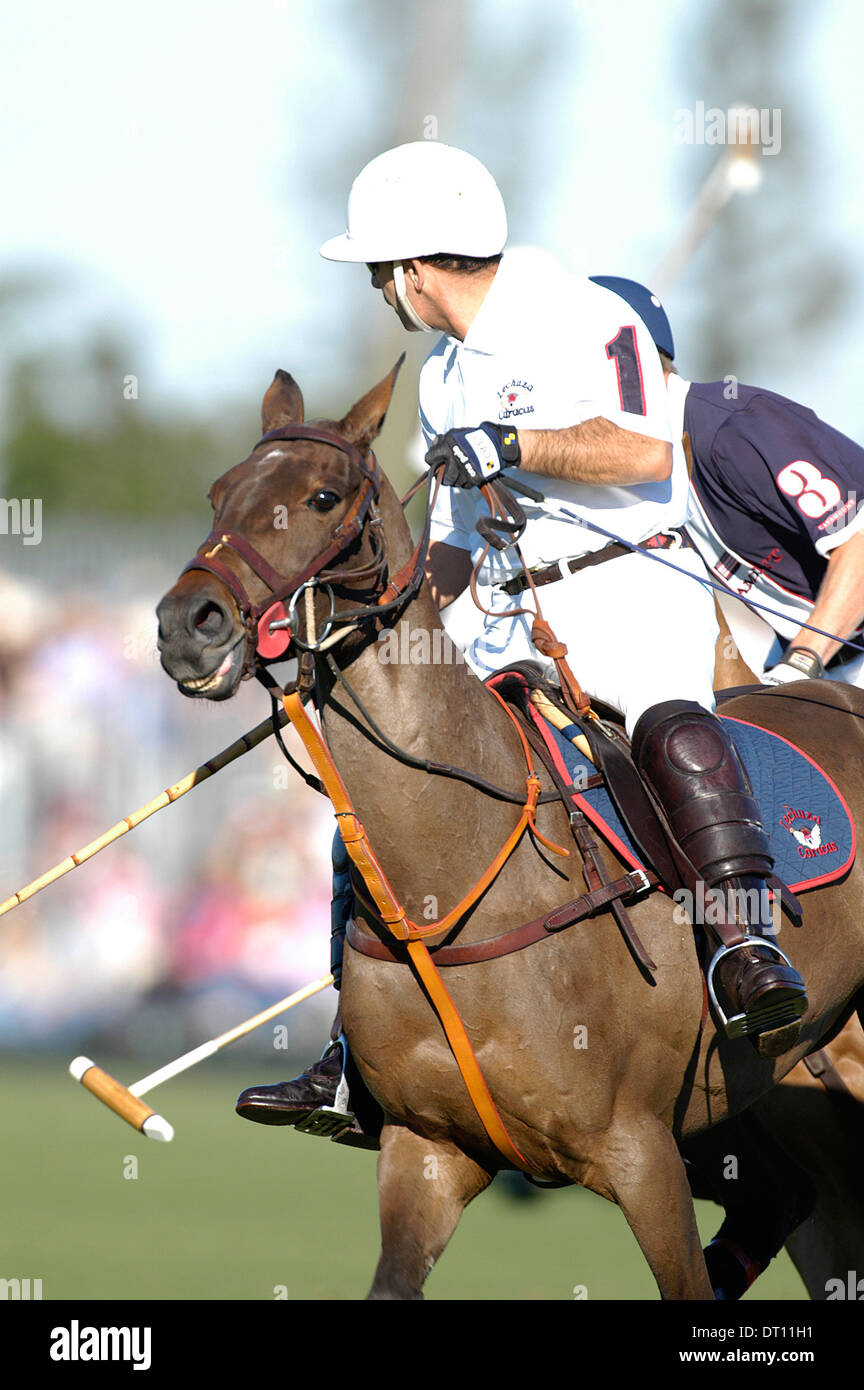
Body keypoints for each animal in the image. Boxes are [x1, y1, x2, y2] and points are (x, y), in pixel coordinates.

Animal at [155, 364, 864, 1295]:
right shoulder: (426, 1150)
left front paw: (486, 445)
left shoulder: (642, 1153)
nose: (185, 625)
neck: (461, 870)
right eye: (218, 492)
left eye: (322, 496)